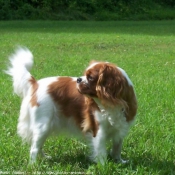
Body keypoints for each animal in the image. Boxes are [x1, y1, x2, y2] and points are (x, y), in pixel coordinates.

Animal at [6, 47, 137, 164]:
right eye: (84, 75)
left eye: (90, 77)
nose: (79, 79)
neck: (112, 103)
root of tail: (36, 84)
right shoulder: (98, 131)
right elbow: (101, 152)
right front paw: (103, 166)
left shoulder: (121, 128)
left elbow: (117, 148)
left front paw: (119, 161)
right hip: (43, 125)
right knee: (34, 149)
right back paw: (33, 166)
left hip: (46, 127)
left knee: (38, 146)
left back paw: (44, 158)